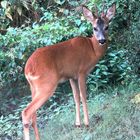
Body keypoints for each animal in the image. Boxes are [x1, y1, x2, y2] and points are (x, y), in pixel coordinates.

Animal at [21, 3, 116, 140]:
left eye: (107, 27)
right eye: (94, 28)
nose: (102, 40)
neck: (92, 49)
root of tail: (28, 69)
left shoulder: (72, 76)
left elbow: (76, 98)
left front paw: (78, 124)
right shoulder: (81, 72)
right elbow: (83, 96)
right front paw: (87, 123)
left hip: (34, 87)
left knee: (33, 113)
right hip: (47, 85)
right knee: (26, 112)